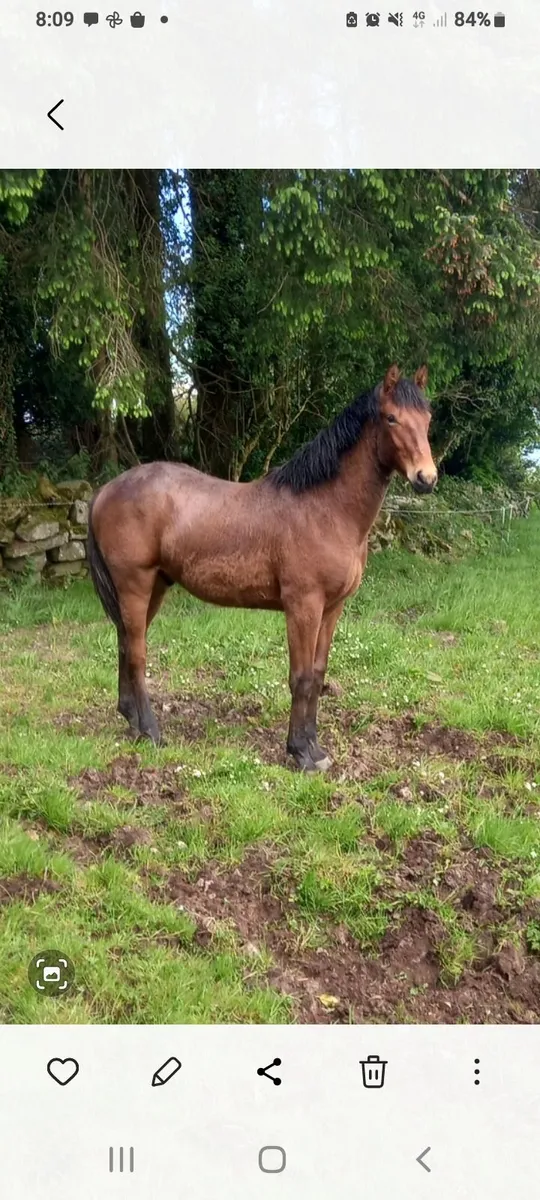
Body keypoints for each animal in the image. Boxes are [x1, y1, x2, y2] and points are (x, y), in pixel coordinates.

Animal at [87, 364, 437, 772]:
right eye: (392, 417)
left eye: (427, 418)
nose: (426, 478)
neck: (325, 508)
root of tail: (105, 490)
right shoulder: (303, 606)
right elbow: (301, 678)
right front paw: (300, 753)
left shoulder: (332, 608)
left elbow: (318, 675)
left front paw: (315, 748)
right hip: (135, 584)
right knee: (137, 653)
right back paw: (151, 731)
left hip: (154, 587)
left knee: (126, 644)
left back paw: (131, 719)